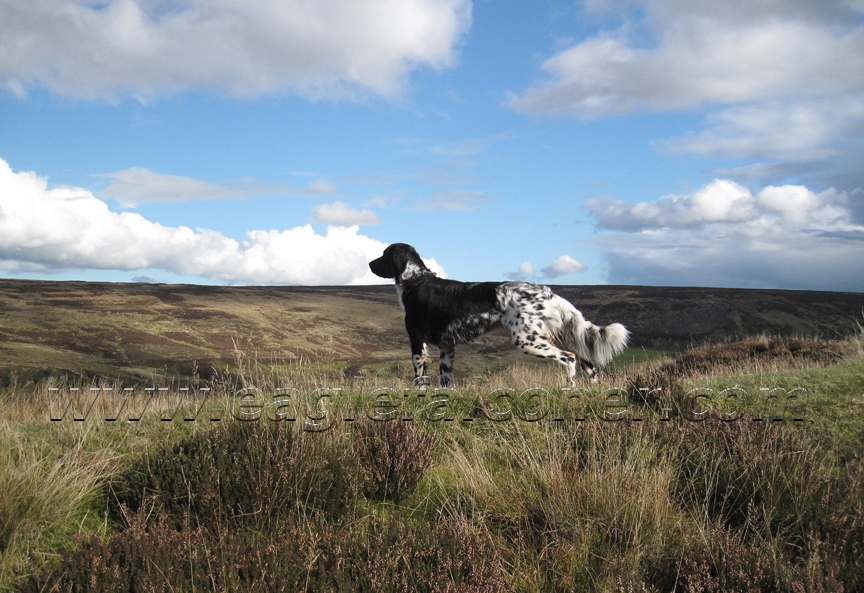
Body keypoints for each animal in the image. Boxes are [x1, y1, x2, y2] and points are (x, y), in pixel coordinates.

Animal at [370, 243, 628, 386]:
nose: (370, 264)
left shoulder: (417, 342)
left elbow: (419, 379)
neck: (415, 280)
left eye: (384, 254)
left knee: (570, 359)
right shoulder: (446, 348)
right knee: (589, 366)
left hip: (528, 340)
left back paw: (570, 388)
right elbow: (445, 382)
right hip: (557, 336)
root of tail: (548, 293)